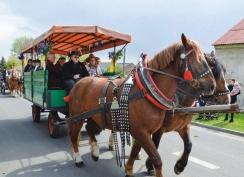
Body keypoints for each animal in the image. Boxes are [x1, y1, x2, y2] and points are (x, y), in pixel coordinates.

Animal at [66, 34, 215, 176]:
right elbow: (157, 159)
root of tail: (80, 81)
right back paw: (78, 158)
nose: (212, 86)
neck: (147, 91)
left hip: (96, 117)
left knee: (89, 128)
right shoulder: (142, 131)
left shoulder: (144, 131)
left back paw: (95, 152)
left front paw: (129, 169)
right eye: (196, 59)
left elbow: (136, 150)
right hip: (77, 116)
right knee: (73, 135)